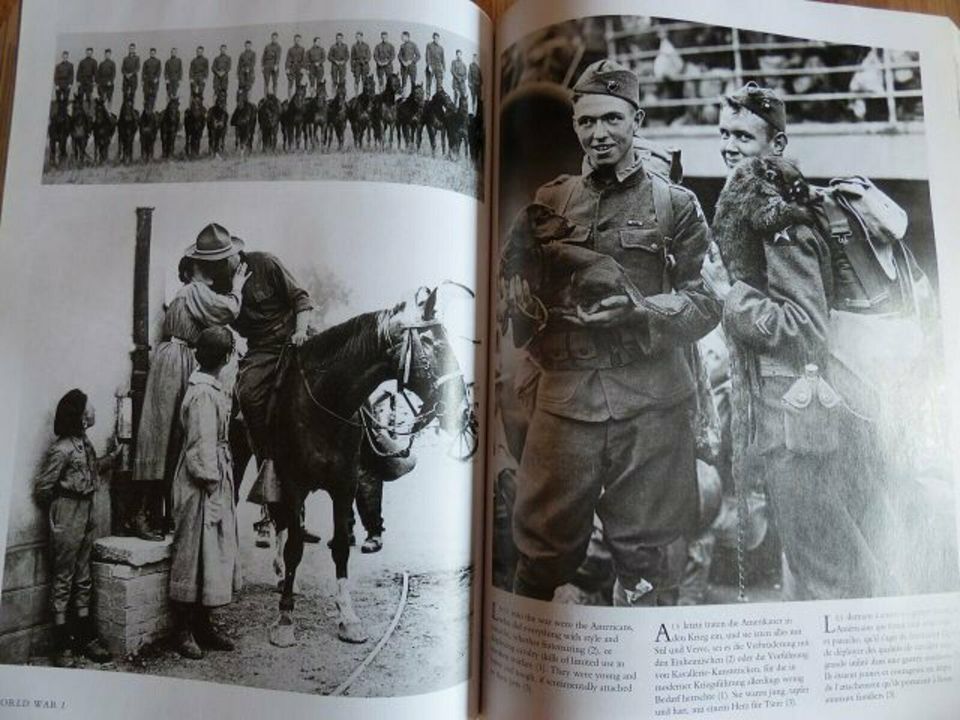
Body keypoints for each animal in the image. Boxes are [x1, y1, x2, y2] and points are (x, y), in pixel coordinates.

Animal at [264, 284, 474, 644]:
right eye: (437, 345)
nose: (463, 411)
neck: (325, 401)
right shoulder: (293, 482)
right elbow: (294, 548)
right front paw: (285, 618)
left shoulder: (344, 484)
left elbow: (340, 549)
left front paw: (348, 618)